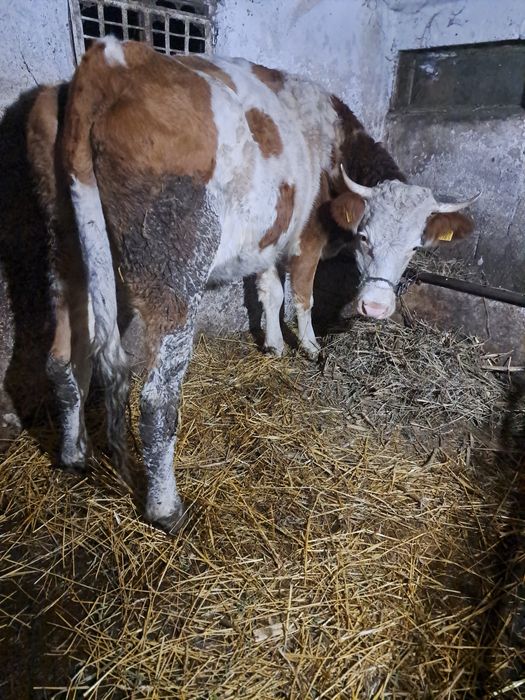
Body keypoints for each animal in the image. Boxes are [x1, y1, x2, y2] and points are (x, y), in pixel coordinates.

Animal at [26, 37, 478, 532]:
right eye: (365, 236)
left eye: (415, 247)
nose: (376, 308)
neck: (332, 143)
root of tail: (112, 57)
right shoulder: (306, 238)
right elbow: (301, 295)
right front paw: (310, 347)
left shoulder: (267, 241)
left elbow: (269, 291)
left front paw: (275, 345)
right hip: (176, 268)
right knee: (157, 398)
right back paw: (166, 508)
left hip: (65, 251)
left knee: (63, 361)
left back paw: (73, 455)